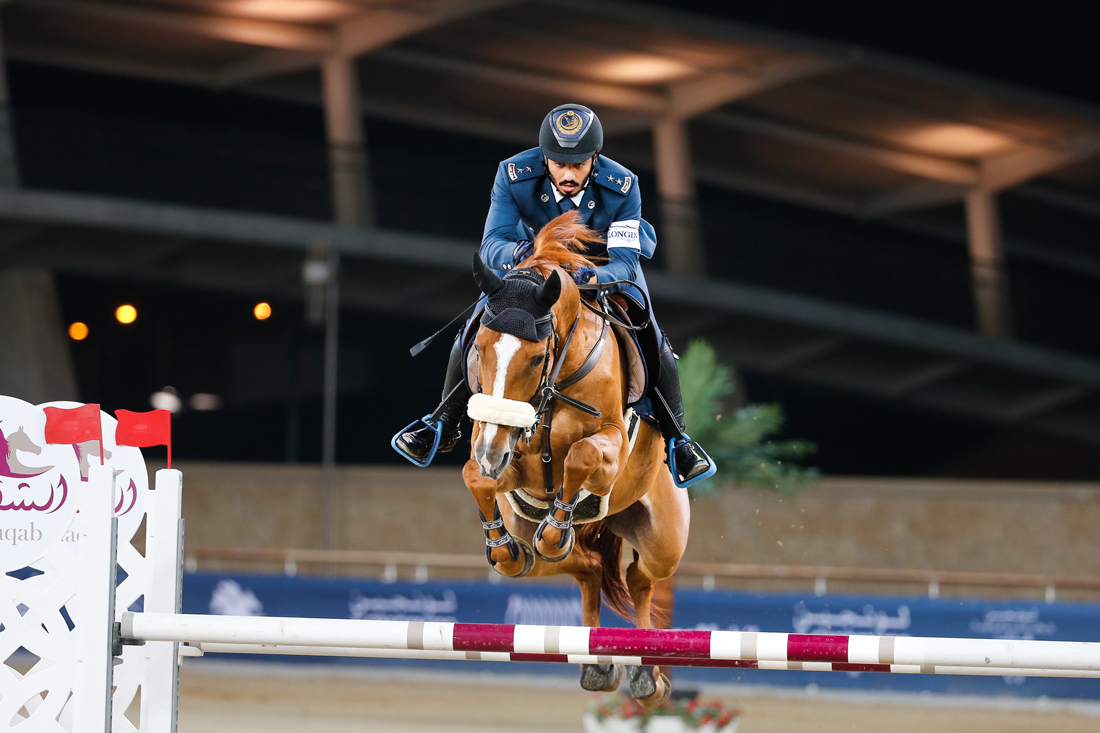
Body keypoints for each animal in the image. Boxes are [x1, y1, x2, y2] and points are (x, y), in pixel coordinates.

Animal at [457, 211, 682, 704]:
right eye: (479, 346)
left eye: (535, 356)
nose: (491, 453)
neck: (556, 381)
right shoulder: (505, 454)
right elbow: (476, 477)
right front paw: (501, 543)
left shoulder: (611, 445)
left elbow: (580, 456)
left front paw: (559, 523)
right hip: (537, 539)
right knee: (581, 566)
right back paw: (595, 661)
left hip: (664, 541)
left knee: (640, 578)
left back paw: (646, 674)